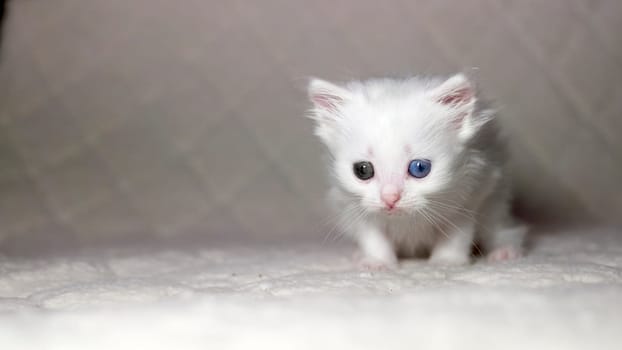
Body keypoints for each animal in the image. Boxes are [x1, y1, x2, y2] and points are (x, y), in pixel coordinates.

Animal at [308, 72, 528, 266]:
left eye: (420, 168)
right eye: (363, 170)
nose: (390, 198)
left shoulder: (471, 193)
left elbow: (456, 233)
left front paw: (446, 261)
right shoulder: (351, 204)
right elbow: (372, 235)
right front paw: (378, 262)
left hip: (495, 202)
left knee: (504, 229)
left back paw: (505, 252)